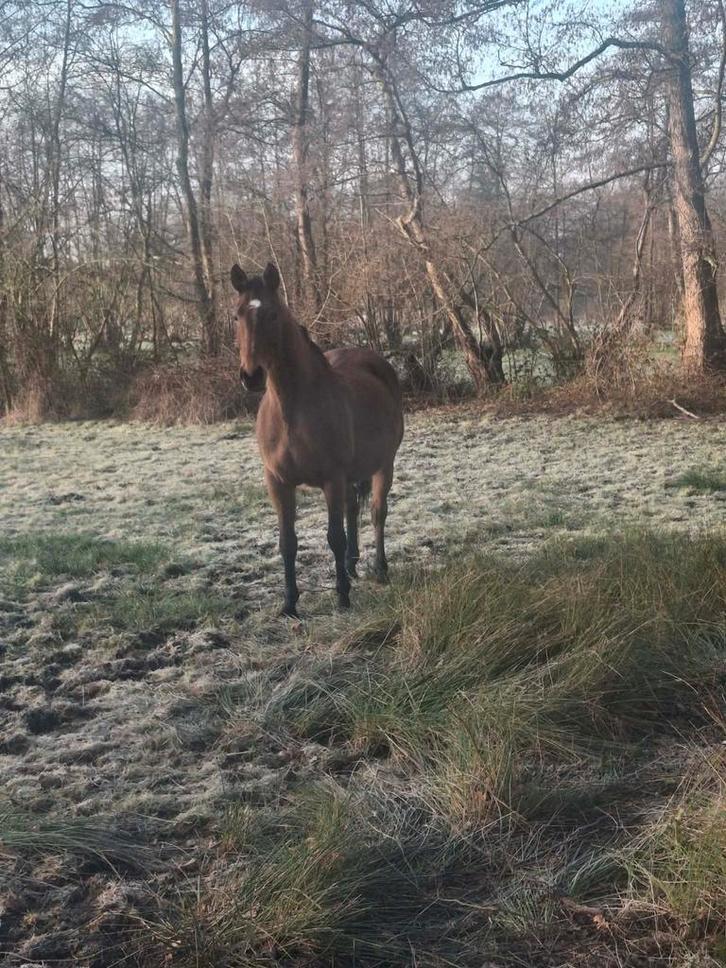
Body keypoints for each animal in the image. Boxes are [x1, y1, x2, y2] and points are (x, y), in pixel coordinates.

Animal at [231, 262, 404, 618]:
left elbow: (334, 536)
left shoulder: (331, 479)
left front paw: (342, 597)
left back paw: (379, 570)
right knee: (353, 509)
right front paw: (289, 603)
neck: (292, 408)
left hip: (385, 465)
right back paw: (351, 566)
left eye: (272, 314)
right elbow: (288, 542)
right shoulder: (278, 482)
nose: (251, 376)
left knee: (377, 512)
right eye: (237, 315)